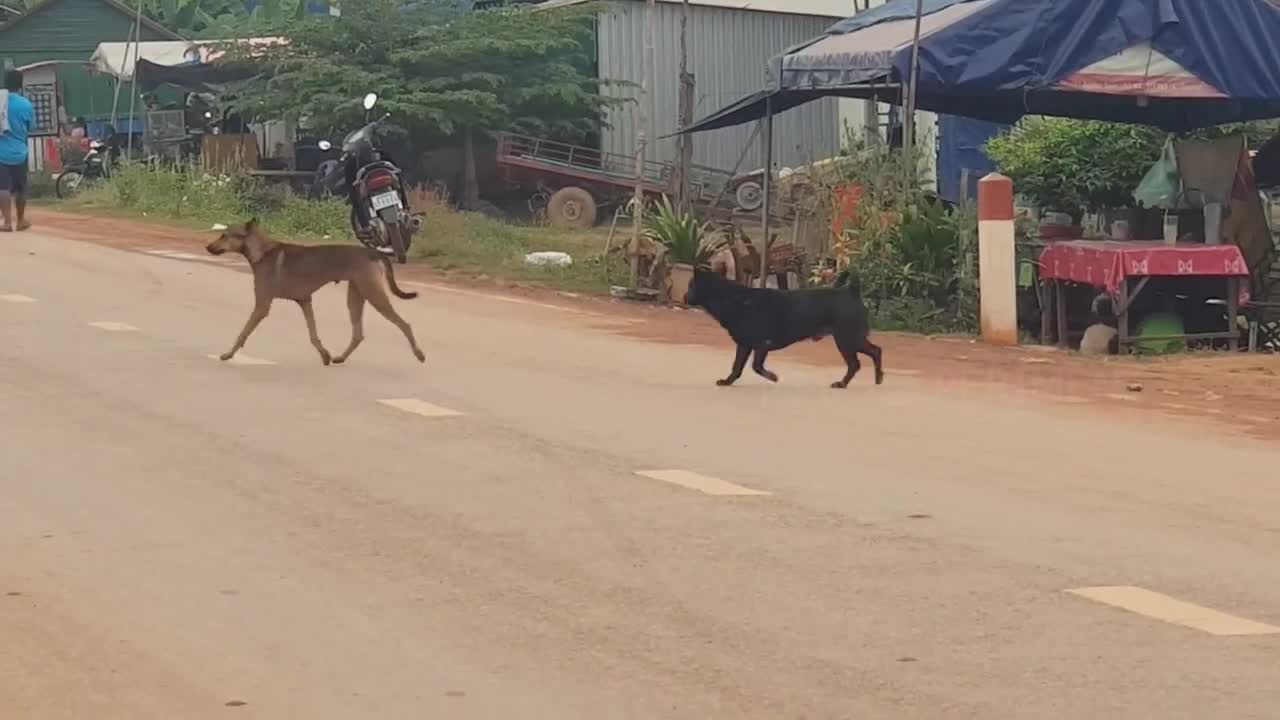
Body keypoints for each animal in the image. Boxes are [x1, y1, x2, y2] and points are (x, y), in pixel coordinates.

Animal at [204, 217, 424, 363]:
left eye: (224, 235)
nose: (208, 247)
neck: (262, 252)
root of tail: (374, 252)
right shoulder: (305, 301)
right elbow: (313, 334)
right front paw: (324, 354)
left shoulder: (262, 305)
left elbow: (243, 332)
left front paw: (228, 354)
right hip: (356, 295)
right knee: (358, 334)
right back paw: (340, 358)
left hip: (373, 294)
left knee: (404, 324)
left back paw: (419, 354)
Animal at [691, 266, 880, 386]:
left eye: (690, 286)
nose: (686, 297)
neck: (735, 299)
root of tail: (852, 292)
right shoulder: (744, 345)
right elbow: (737, 367)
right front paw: (727, 382)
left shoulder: (761, 345)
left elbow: (756, 366)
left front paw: (772, 377)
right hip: (851, 339)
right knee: (875, 352)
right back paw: (878, 378)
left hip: (847, 340)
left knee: (855, 363)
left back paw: (843, 384)